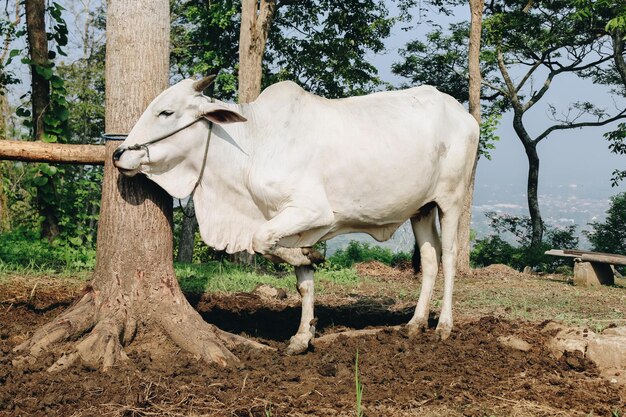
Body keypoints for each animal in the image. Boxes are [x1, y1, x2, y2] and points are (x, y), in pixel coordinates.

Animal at [113, 76, 478, 352]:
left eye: (166, 112)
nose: (118, 154)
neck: (253, 143)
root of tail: (464, 116)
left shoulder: (313, 212)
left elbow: (262, 241)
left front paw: (311, 257)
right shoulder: (289, 223)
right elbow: (302, 281)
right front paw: (303, 336)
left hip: (450, 201)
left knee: (449, 258)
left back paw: (444, 326)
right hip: (421, 209)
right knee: (430, 260)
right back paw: (415, 324)